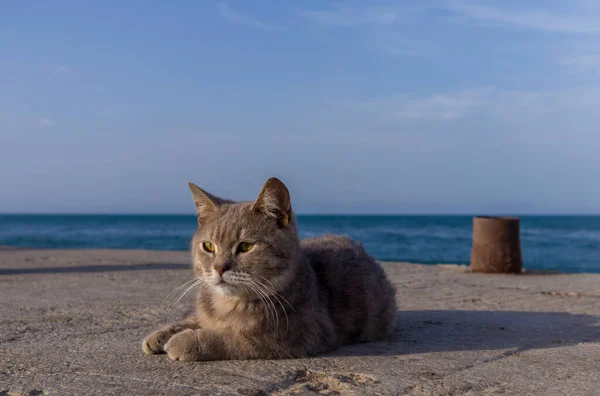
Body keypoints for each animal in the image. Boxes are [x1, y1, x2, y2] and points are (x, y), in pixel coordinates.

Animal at [142, 178, 396, 360]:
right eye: (209, 246)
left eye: (245, 246)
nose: (219, 267)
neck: (228, 304)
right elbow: (193, 319)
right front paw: (162, 334)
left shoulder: (293, 337)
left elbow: (231, 338)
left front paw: (186, 341)